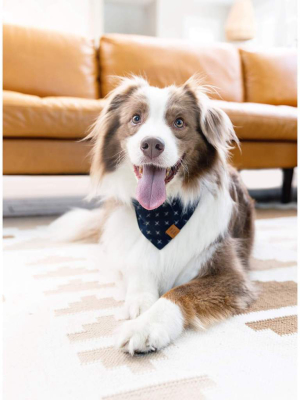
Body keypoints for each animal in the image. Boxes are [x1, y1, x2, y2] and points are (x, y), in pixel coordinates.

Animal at [51, 76, 255, 356]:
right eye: (136, 118)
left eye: (179, 122)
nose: (151, 144)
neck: (161, 215)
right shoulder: (134, 249)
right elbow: (139, 265)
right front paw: (139, 302)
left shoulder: (228, 274)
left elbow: (179, 293)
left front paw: (145, 327)